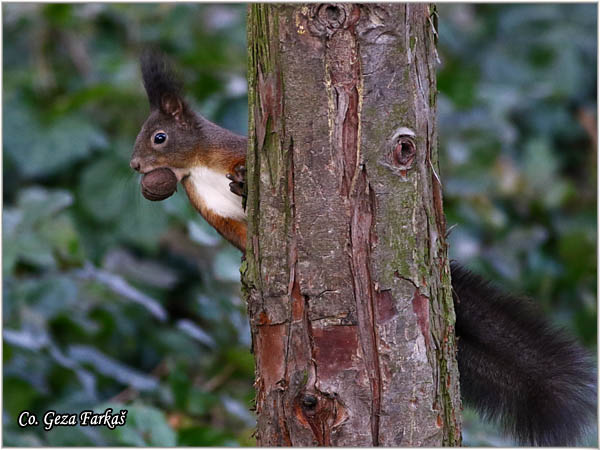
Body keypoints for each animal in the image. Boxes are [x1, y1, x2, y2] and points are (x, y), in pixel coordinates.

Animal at [129, 52, 592, 446]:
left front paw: (243, 182)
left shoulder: (233, 151)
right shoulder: (209, 211)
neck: (196, 167)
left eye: (159, 137)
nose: (134, 166)